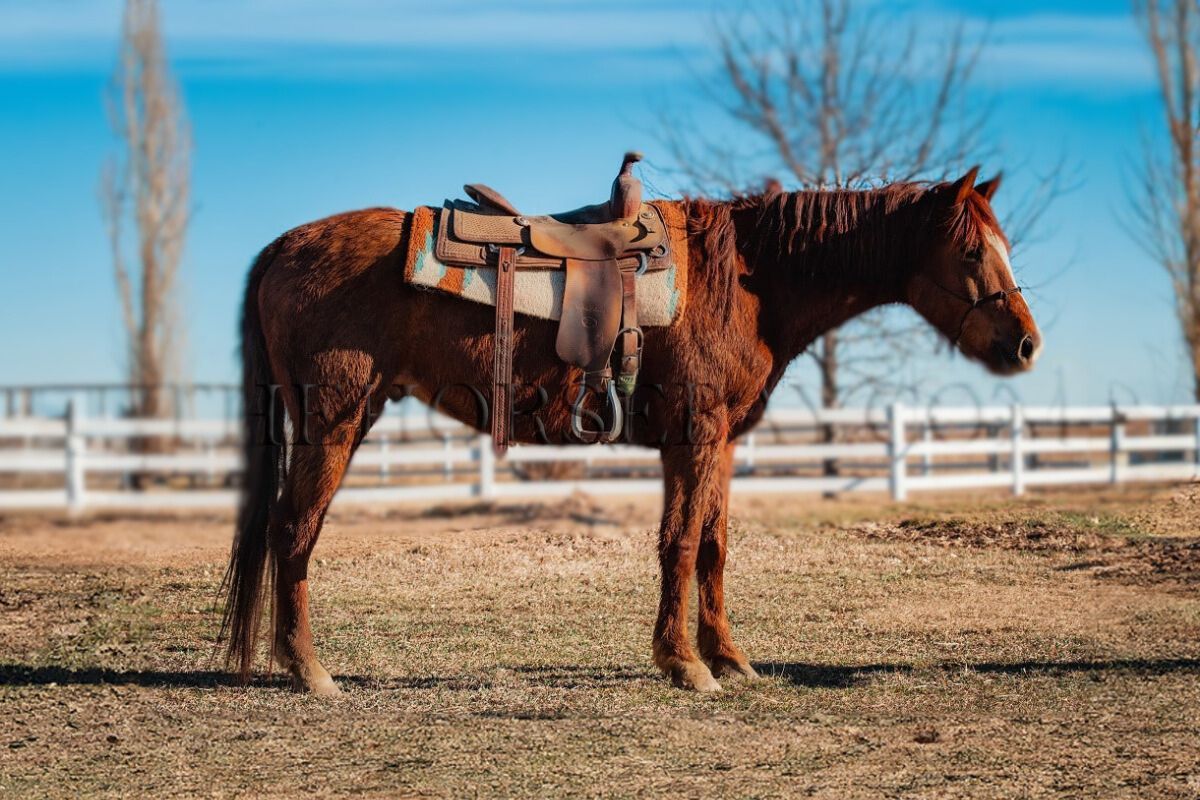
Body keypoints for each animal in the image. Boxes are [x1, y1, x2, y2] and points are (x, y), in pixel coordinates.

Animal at [220, 166, 1041, 694]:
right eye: (972, 250)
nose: (1026, 343)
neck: (747, 280)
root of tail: (284, 246)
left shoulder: (720, 442)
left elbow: (711, 546)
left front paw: (729, 657)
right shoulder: (695, 435)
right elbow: (678, 544)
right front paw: (686, 665)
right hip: (335, 421)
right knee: (294, 531)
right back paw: (310, 671)